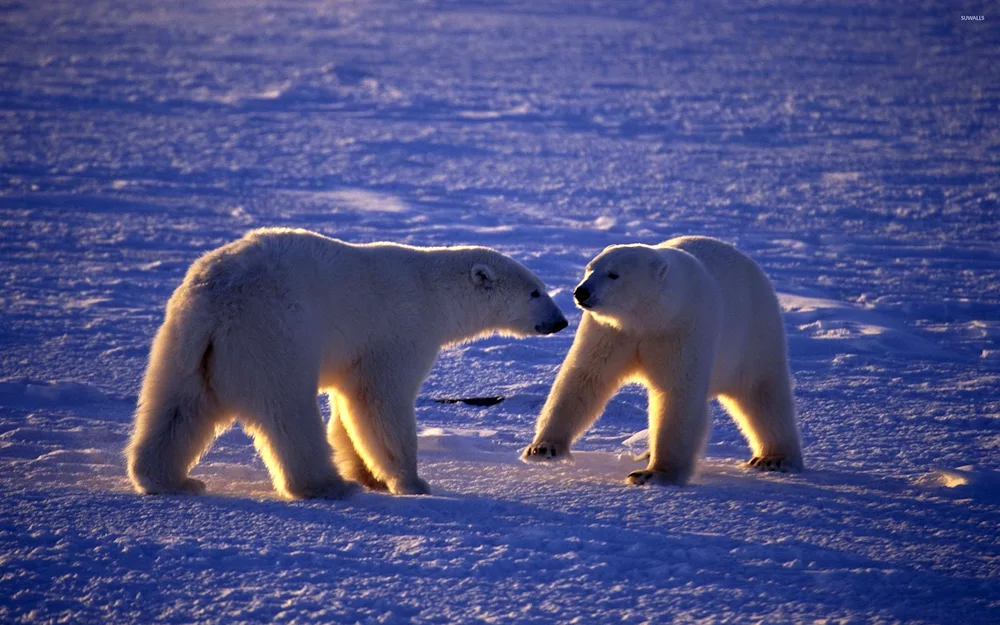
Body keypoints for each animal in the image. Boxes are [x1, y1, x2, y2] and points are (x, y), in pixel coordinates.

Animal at [131, 228, 572, 498]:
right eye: (535, 292)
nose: (561, 321)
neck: (434, 291)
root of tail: (218, 298)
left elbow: (348, 408)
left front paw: (368, 474)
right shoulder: (400, 331)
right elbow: (379, 402)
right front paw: (412, 481)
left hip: (188, 341)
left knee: (176, 407)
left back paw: (170, 479)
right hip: (274, 333)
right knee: (289, 412)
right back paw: (328, 485)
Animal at [520, 236, 800, 486]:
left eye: (613, 275)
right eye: (590, 268)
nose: (581, 291)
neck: (651, 317)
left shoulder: (682, 328)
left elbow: (677, 394)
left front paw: (653, 474)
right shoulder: (612, 332)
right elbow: (585, 377)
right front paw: (543, 449)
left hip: (754, 334)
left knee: (763, 394)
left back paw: (774, 458)